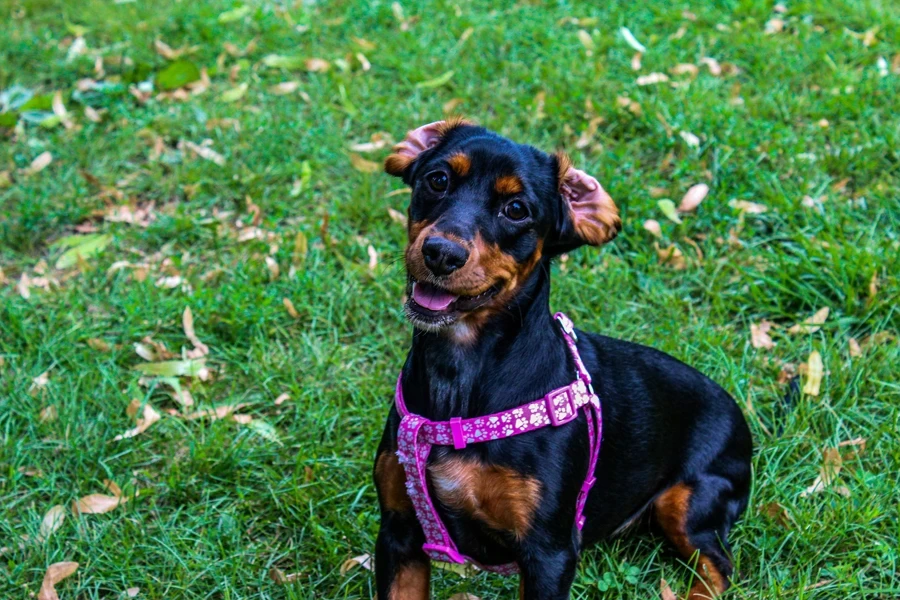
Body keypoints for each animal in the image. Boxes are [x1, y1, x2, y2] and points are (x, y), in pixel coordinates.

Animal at [372, 119, 752, 600]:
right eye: (437, 180)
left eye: (517, 209)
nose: (441, 252)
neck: (459, 372)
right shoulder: (399, 531)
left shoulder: (548, 553)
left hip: (693, 502)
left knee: (717, 567)